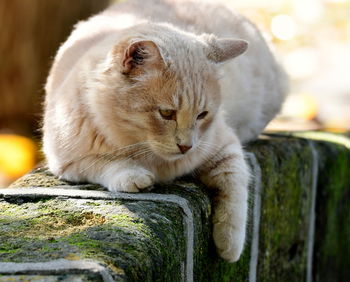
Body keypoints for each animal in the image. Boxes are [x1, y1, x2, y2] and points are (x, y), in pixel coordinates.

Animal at [43, 0, 288, 264]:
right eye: (167, 113)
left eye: (202, 115)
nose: (186, 146)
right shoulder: (68, 163)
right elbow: (106, 162)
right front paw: (133, 176)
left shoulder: (225, 147)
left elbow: (235, 192)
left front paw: (229, 246)